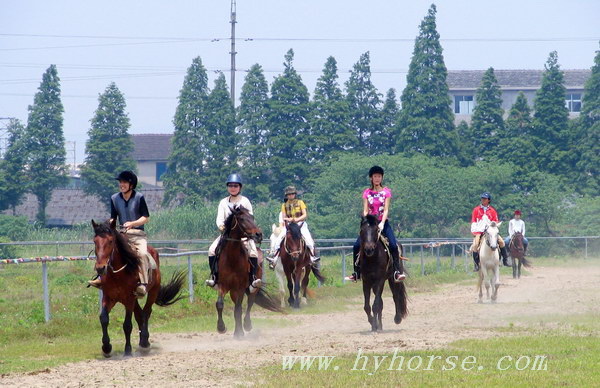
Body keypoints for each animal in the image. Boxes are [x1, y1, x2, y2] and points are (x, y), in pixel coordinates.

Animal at [91, 218, 184, 358]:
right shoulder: (109, 297)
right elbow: (104, 319)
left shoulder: (129, 298)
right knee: (140, 314)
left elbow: (127, 325)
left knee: (146, 312)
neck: (118, 274)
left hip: (152, 292)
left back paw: (144, 343)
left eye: (111, 241)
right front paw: (106, 348)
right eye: (95, 241)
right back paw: (143, 343)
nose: (100, 268)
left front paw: (128, 350)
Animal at [213, 206, 284, 336]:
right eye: (241, 219)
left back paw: (247, 325)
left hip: (252, 287)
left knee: (250, 302)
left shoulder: (240, 287)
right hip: (233, 290)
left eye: (252, 217)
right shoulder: (222, 284)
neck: (232, 258)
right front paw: (221, 327)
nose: (258, 234)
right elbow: (220, 304)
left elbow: (238, 308)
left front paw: (239, 333)